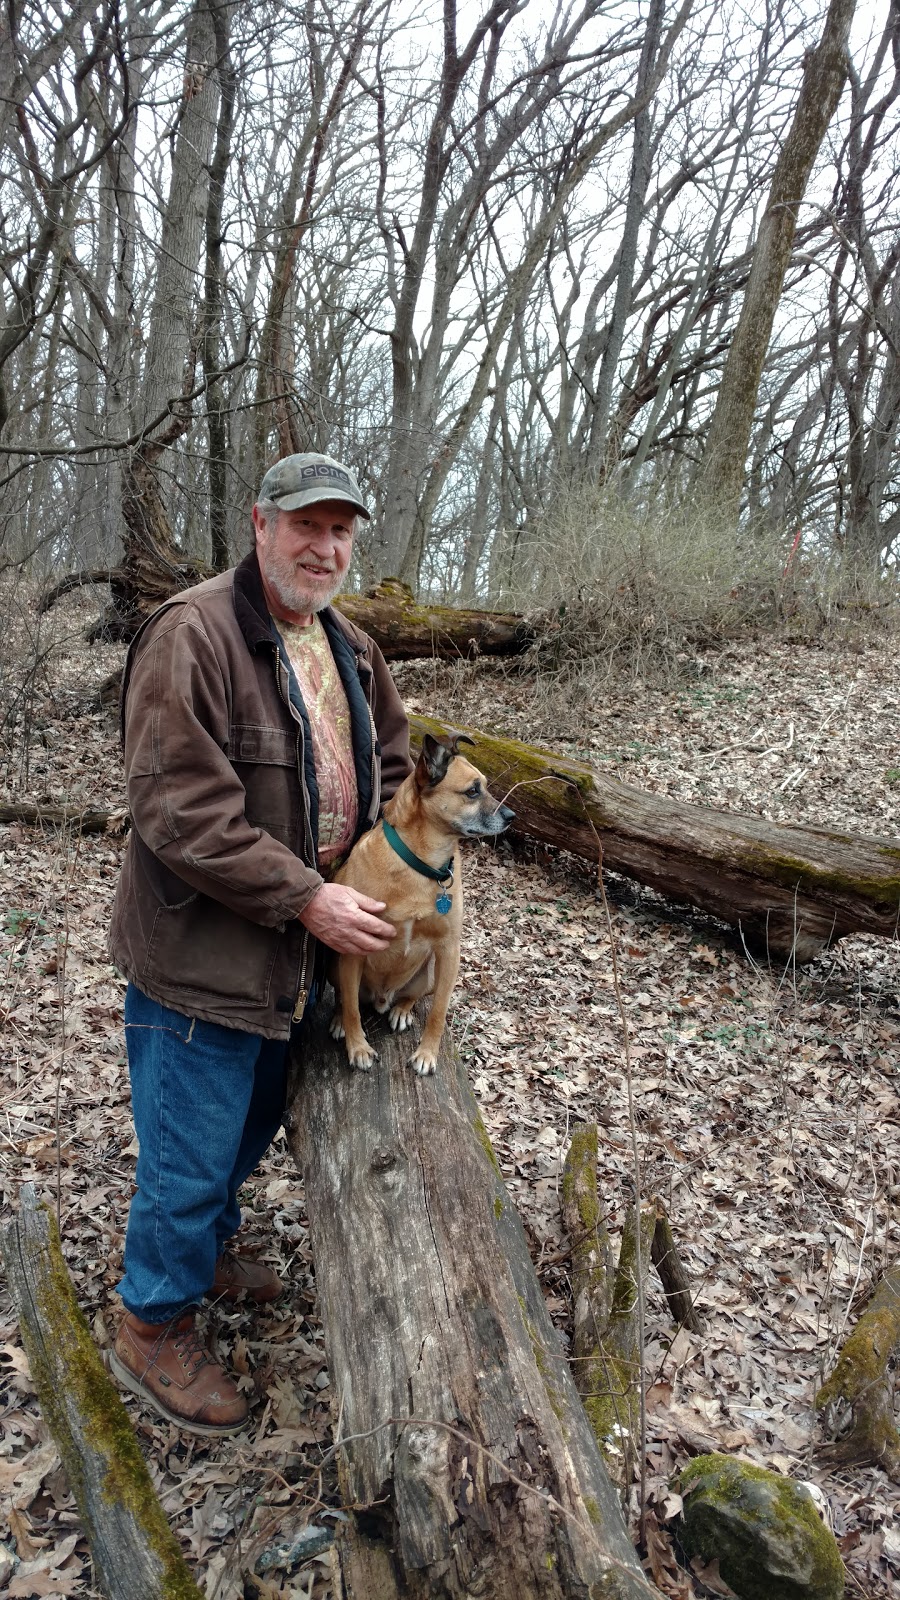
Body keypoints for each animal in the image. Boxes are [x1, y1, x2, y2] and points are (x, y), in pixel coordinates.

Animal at [328, 736, 512, 1075]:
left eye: (485, 786)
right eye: (472, 791)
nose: (511, 817)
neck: (423, 866)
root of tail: (382, 998)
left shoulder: (449, 950)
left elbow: (439, 1010)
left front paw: (427, 1053)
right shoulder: (354, 946)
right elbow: (351, 1010)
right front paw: (358, 1047)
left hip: (427, 976)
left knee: (411, 997)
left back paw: (401, 1009)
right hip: (336, 965)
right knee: (346, 999)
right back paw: (338, 1020)